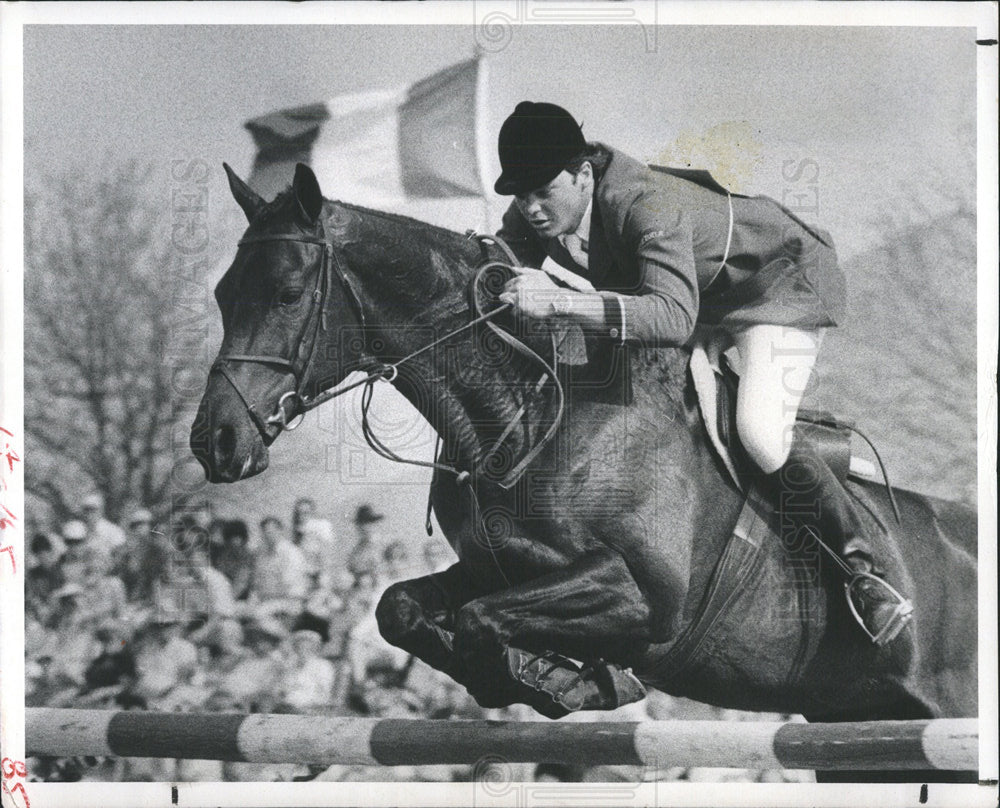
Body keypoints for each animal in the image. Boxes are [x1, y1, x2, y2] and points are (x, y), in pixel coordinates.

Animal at [189, 166, 976, 784]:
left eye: (289, 293)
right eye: (224, 294)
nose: (214, 442)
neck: (531, 410)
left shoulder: (642, 595)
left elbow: (480, 620)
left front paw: (560, 679)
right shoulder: (494, 566)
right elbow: (403, 609)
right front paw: (544, 677)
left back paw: (876, 596)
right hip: (863, 737)